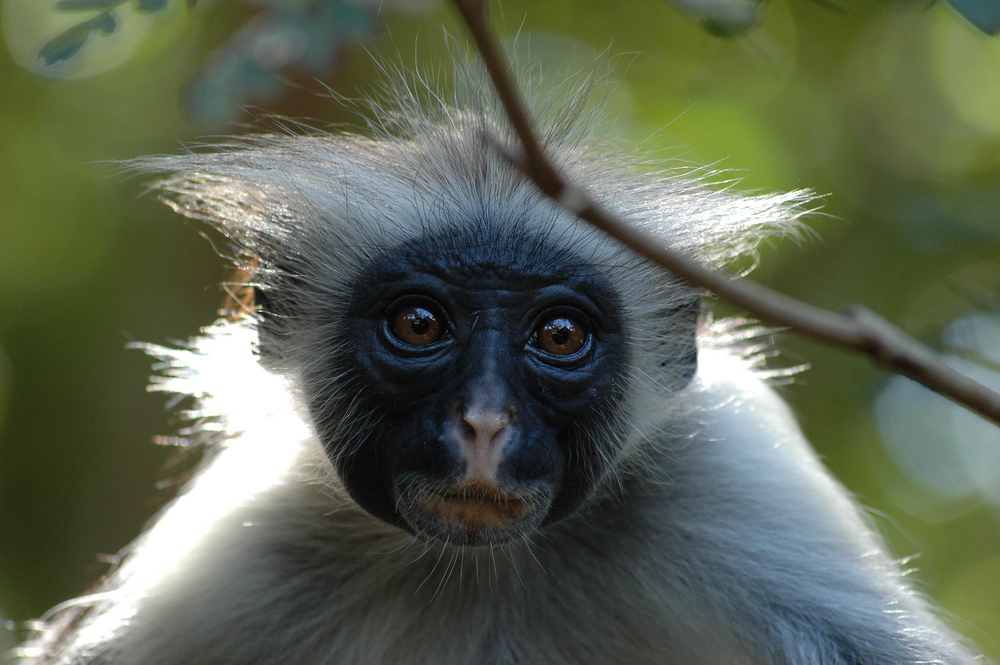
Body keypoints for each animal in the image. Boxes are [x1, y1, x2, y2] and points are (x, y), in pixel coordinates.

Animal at [15, 63, 984, 664]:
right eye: (417, 324)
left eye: (558, 336)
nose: (484, 421)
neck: (484, 566)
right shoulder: (247, 545)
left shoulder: (731, 474)